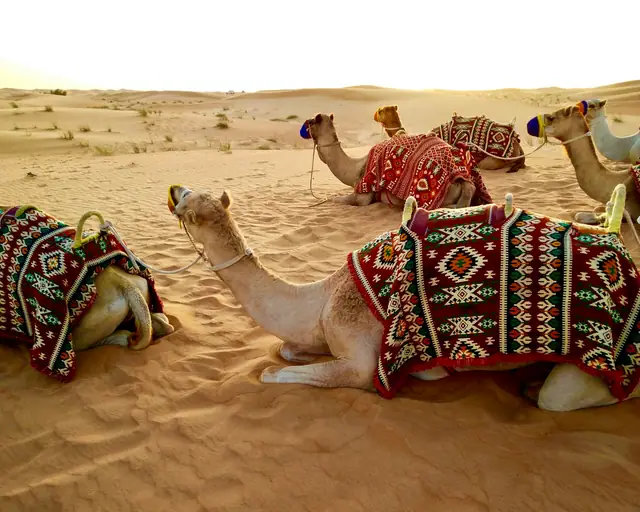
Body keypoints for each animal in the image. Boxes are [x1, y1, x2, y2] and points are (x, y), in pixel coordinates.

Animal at [167, 183, 640, 412]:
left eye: (187, 204)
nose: (173, 189)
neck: (323, 296)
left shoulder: (360, 360)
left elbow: (272, 372)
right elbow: (285, 351)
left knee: (569, 396)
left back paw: (535, 387)